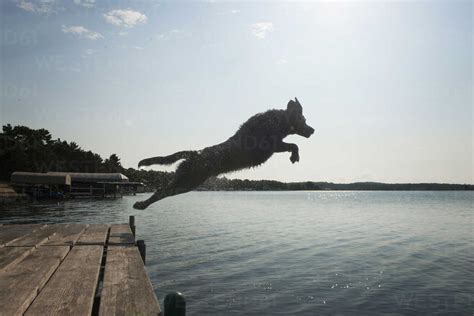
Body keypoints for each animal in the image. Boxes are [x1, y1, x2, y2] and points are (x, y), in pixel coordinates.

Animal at [132, 97, 314, 210]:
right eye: (303, 120)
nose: (313, 130)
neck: (279, 121)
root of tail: (194, 154)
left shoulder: (273, 146)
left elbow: (292, 144)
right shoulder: (269, 144)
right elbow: (294, 144)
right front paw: (295, 156)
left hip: (187, 181)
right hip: (187, 181)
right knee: (160, 191)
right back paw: (141, 204)